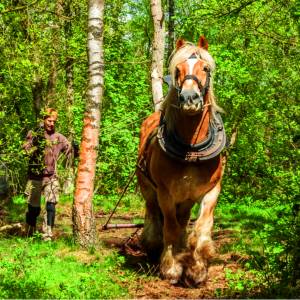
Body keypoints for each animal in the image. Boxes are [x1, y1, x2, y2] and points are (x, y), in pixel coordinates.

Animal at [137, 35, 226, 286]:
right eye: (178, 69)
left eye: (205, 68)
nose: (189, 98)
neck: (191, 150)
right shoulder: (165, 193)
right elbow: (170, 227)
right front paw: (171, 267)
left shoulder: (211, 190)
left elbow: (201, 227)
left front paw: (197, 268)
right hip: (148, 188)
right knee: (154, 213)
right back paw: (153, 245)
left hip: (186, 198)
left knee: (183, 218)